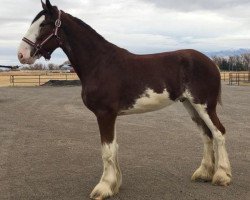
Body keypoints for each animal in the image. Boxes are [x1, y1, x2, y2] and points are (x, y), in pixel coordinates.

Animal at [17, 0, 231, 199]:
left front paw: (103, 188)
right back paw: (203, 173)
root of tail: (211, 62)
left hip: (204, 105)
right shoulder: (110, 115)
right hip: (190, 105)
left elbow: (107, 150)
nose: (21, 54)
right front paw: (114, 185)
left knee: (219, 133)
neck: (99, 63)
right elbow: (114, 148)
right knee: (206, 135)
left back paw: (221, 176)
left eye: (44, 25)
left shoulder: (105, 114)